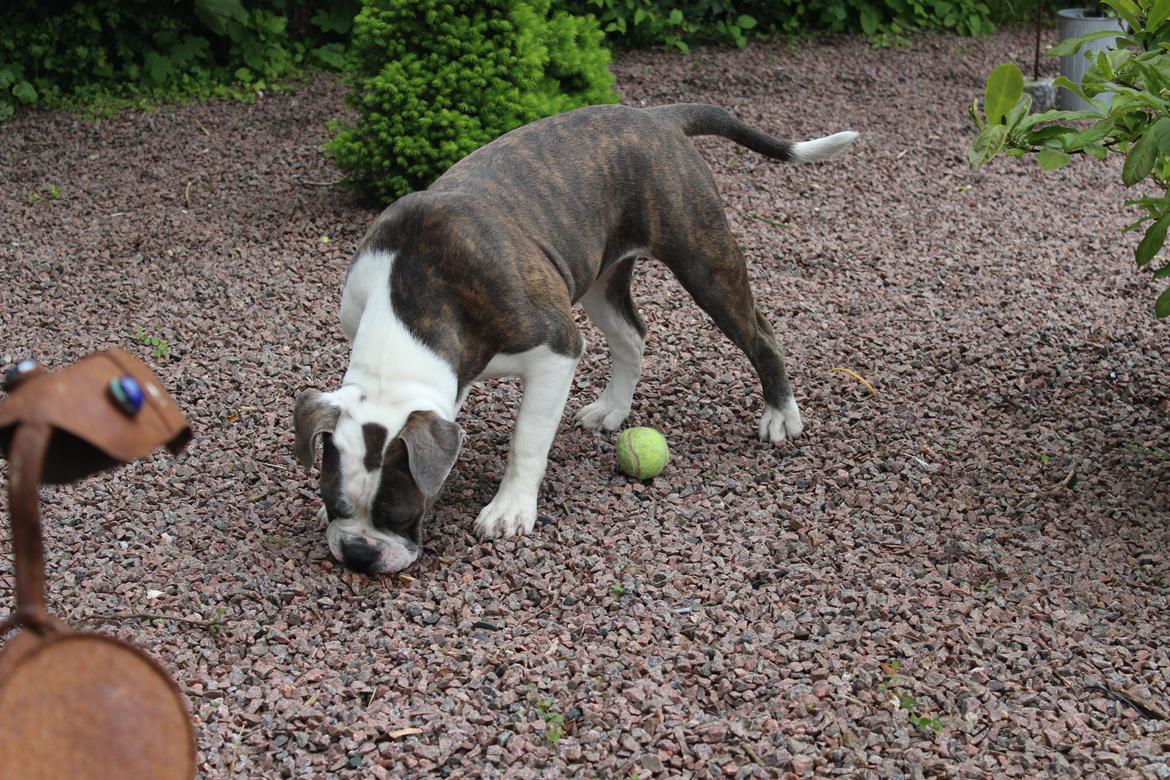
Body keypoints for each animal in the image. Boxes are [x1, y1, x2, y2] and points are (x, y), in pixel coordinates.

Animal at [294, 103, 861, 573]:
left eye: (400, 512)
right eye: (333, 503)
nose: (360, 554)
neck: (414, 297)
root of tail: (656, 115)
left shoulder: (555, 352)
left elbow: (527, 438)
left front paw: (509, 509)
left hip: (705, 261)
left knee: (760, 335)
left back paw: (780, 414)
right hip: (601, 279)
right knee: (632, 336)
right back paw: (613, 408)